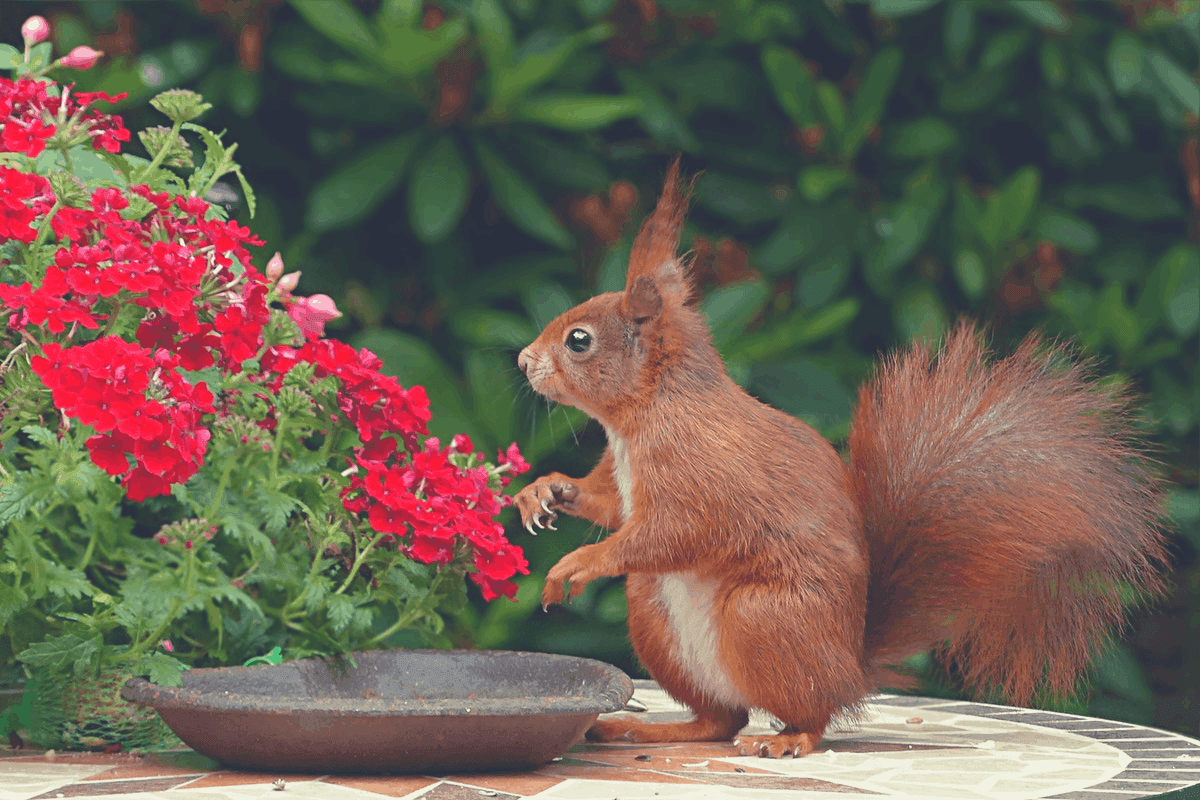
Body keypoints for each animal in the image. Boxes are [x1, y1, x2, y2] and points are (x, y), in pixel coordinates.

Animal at [514, 160, 1167, 759]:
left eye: (579, 340)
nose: (522, 361)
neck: (646, 414)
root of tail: (852, 666)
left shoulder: (702, 472)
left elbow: (673, 532)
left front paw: (579, 562)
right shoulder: (624, 480)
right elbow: (609, 505)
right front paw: (544, 491)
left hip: (764, 617)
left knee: (807, 714)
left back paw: (786, 738)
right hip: (654, 613)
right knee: (719, 720)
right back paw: (646, 727)